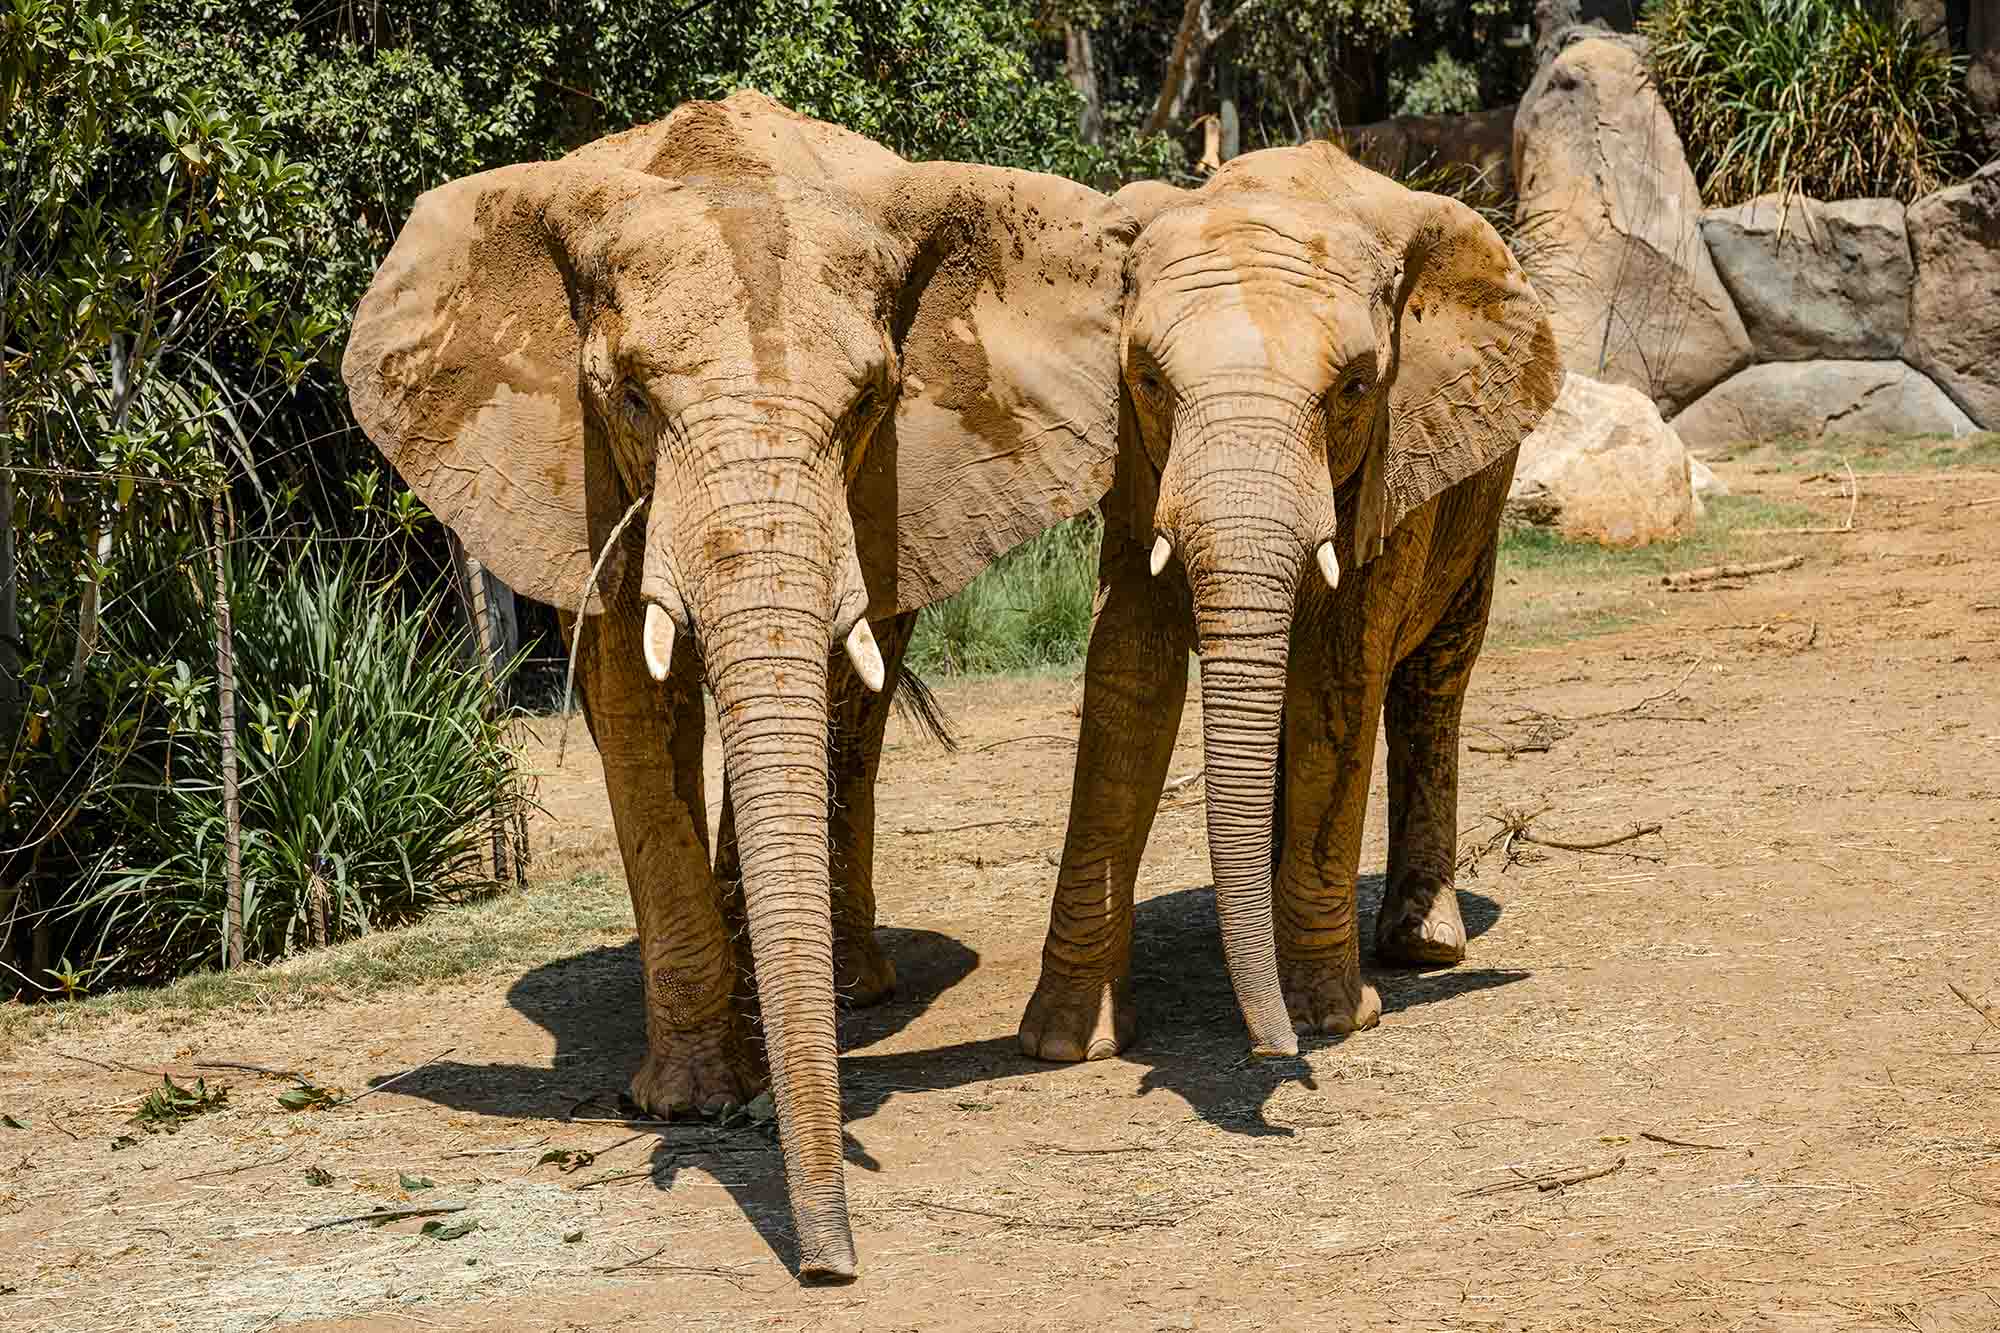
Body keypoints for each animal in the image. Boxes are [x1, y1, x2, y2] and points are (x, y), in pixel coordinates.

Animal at [341, 92, 1134, 1279]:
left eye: (872, 399)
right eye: (626, 396)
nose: (829, 1266)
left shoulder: (886, 473)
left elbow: (840, 681)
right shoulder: (583, 467)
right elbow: (629, 699)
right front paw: (691, 1099)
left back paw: (842, 985)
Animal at [1017, 142, 1560, 1064]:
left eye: (1355, 389)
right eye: (1148, 381)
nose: (1273, 1051)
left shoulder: (1396, 457)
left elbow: (1336, 681)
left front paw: (1331, 1019)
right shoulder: (1133, 463)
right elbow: (1129, 674)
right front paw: (1063, 1042)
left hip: (1480, 490)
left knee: (1434, 681)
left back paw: (1422, 943)